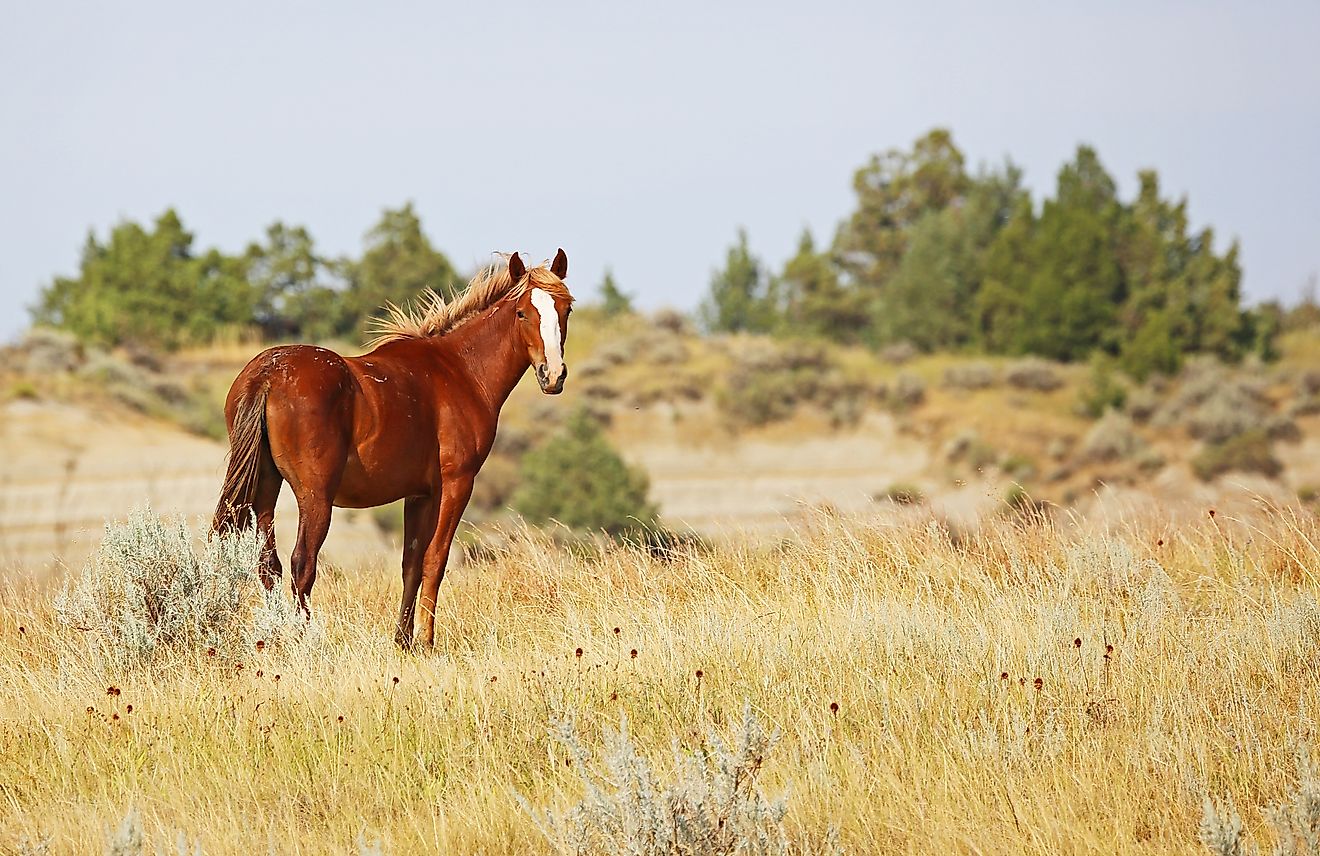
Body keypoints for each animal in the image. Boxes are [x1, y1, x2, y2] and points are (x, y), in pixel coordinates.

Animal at [211, 247, 572, 649]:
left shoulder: (418, 495)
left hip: (265, 489)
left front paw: (403, 640)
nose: (552, 375)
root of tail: (268, 374)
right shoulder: (456, 485)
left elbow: (410, 564)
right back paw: (304, 640)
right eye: (522, 312)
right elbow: (435, 560)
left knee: (267, 563)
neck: (460, 370)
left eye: (566, 308)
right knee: (302, 564)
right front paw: (427, 642)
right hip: (315, 496)